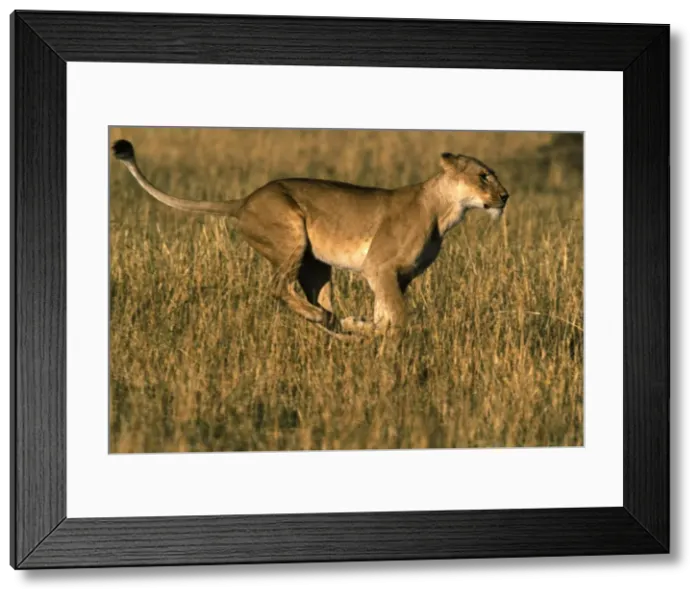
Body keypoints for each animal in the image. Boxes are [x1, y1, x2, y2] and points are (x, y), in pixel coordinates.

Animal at [111, 139, 509, 338]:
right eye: (483, 176)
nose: (505, 196)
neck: (446, 212)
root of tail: (244, 201)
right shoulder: (378, 267)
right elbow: (398, 318)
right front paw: (382, 339)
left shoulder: (399, 277)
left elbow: (385, 315)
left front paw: (363, 327)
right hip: (292, 237)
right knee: (277, 288)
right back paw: (327, 320)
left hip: (316, 267)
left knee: (312, 300)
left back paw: (336, 325)